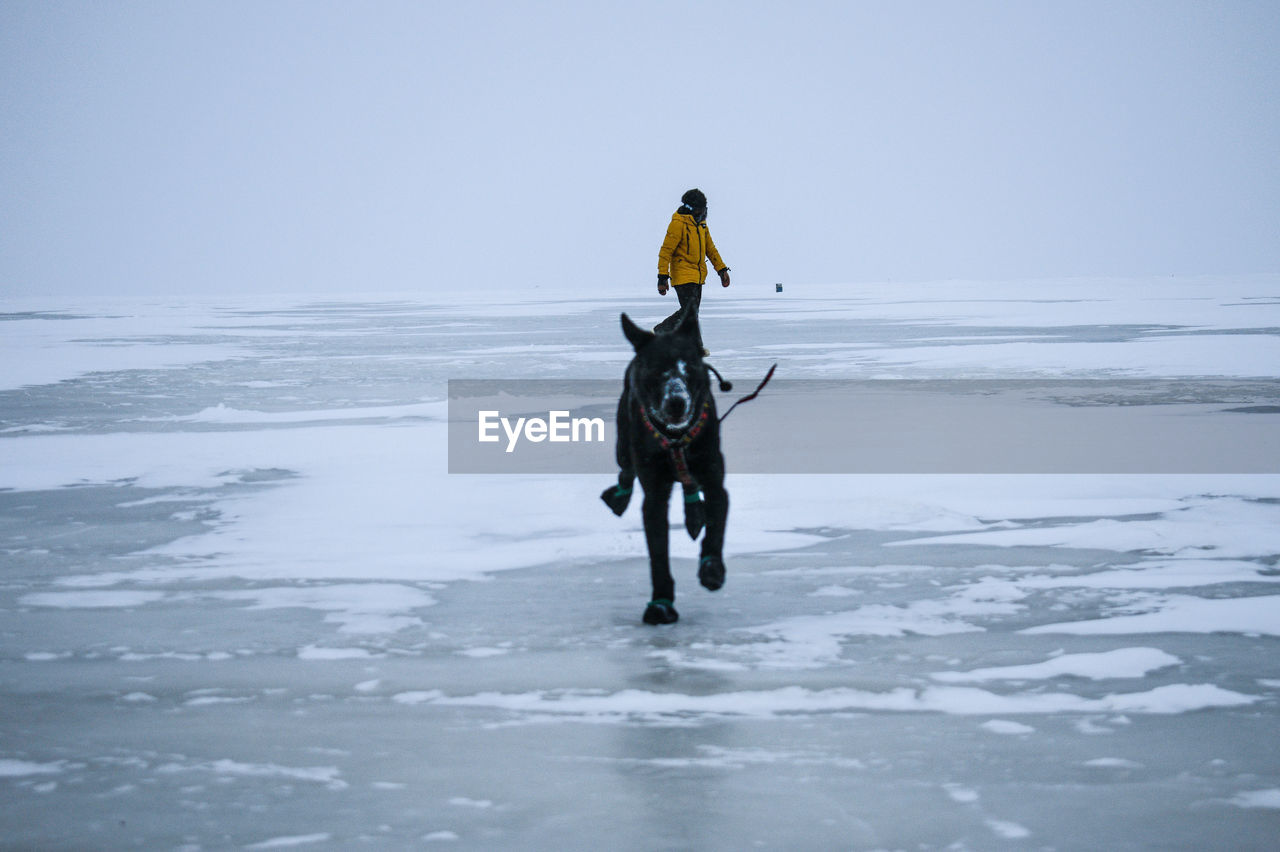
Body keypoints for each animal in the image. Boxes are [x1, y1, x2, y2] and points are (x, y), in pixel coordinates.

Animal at [601, 307, 732, 624]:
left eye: (690, 365)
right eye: (654, 368)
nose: (677, 401)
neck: (675, 440)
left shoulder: (715, 479)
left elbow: (716, 529)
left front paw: (712, 570)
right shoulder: (655, 493)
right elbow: (658, 552)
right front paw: (660, 604)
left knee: (690, 486)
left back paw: (694, 515)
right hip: (623, 442)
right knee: (626, 472)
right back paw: (619, 499)